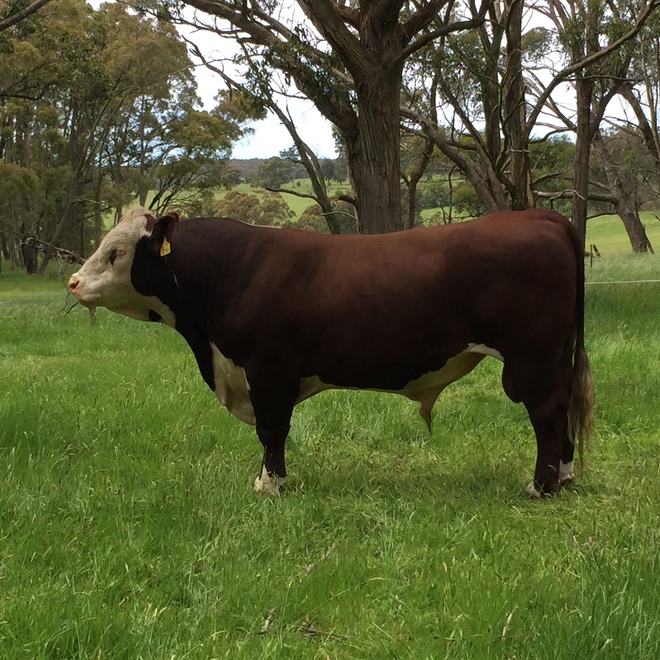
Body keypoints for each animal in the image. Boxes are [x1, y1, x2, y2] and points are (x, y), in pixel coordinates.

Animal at [68, 206, 594, 498]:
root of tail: (538, 215)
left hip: (532, 357)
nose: (73, 282)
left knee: (547, 411)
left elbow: (271, 430)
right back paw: (565, 476)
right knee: (563, 406)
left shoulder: (268, 369)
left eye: (117, 252)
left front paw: (270, 485)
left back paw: (542, 486)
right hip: (554, 356)